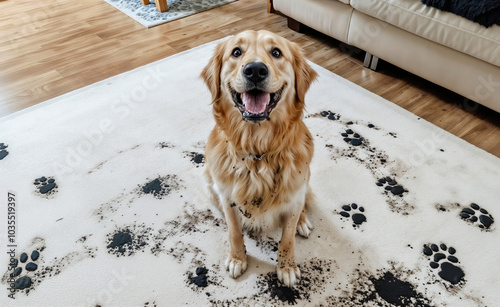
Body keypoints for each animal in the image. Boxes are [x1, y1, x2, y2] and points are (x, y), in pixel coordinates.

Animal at [200, 30, 314, 288]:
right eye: (236, 52)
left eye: (276, 52)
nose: (254, 70)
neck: (258, 151)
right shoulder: (227, 196)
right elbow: (234, 231)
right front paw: (237, 258)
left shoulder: (294, 195)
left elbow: (288, 237)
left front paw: (287, 267)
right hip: (209, 185)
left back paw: (303, 222)